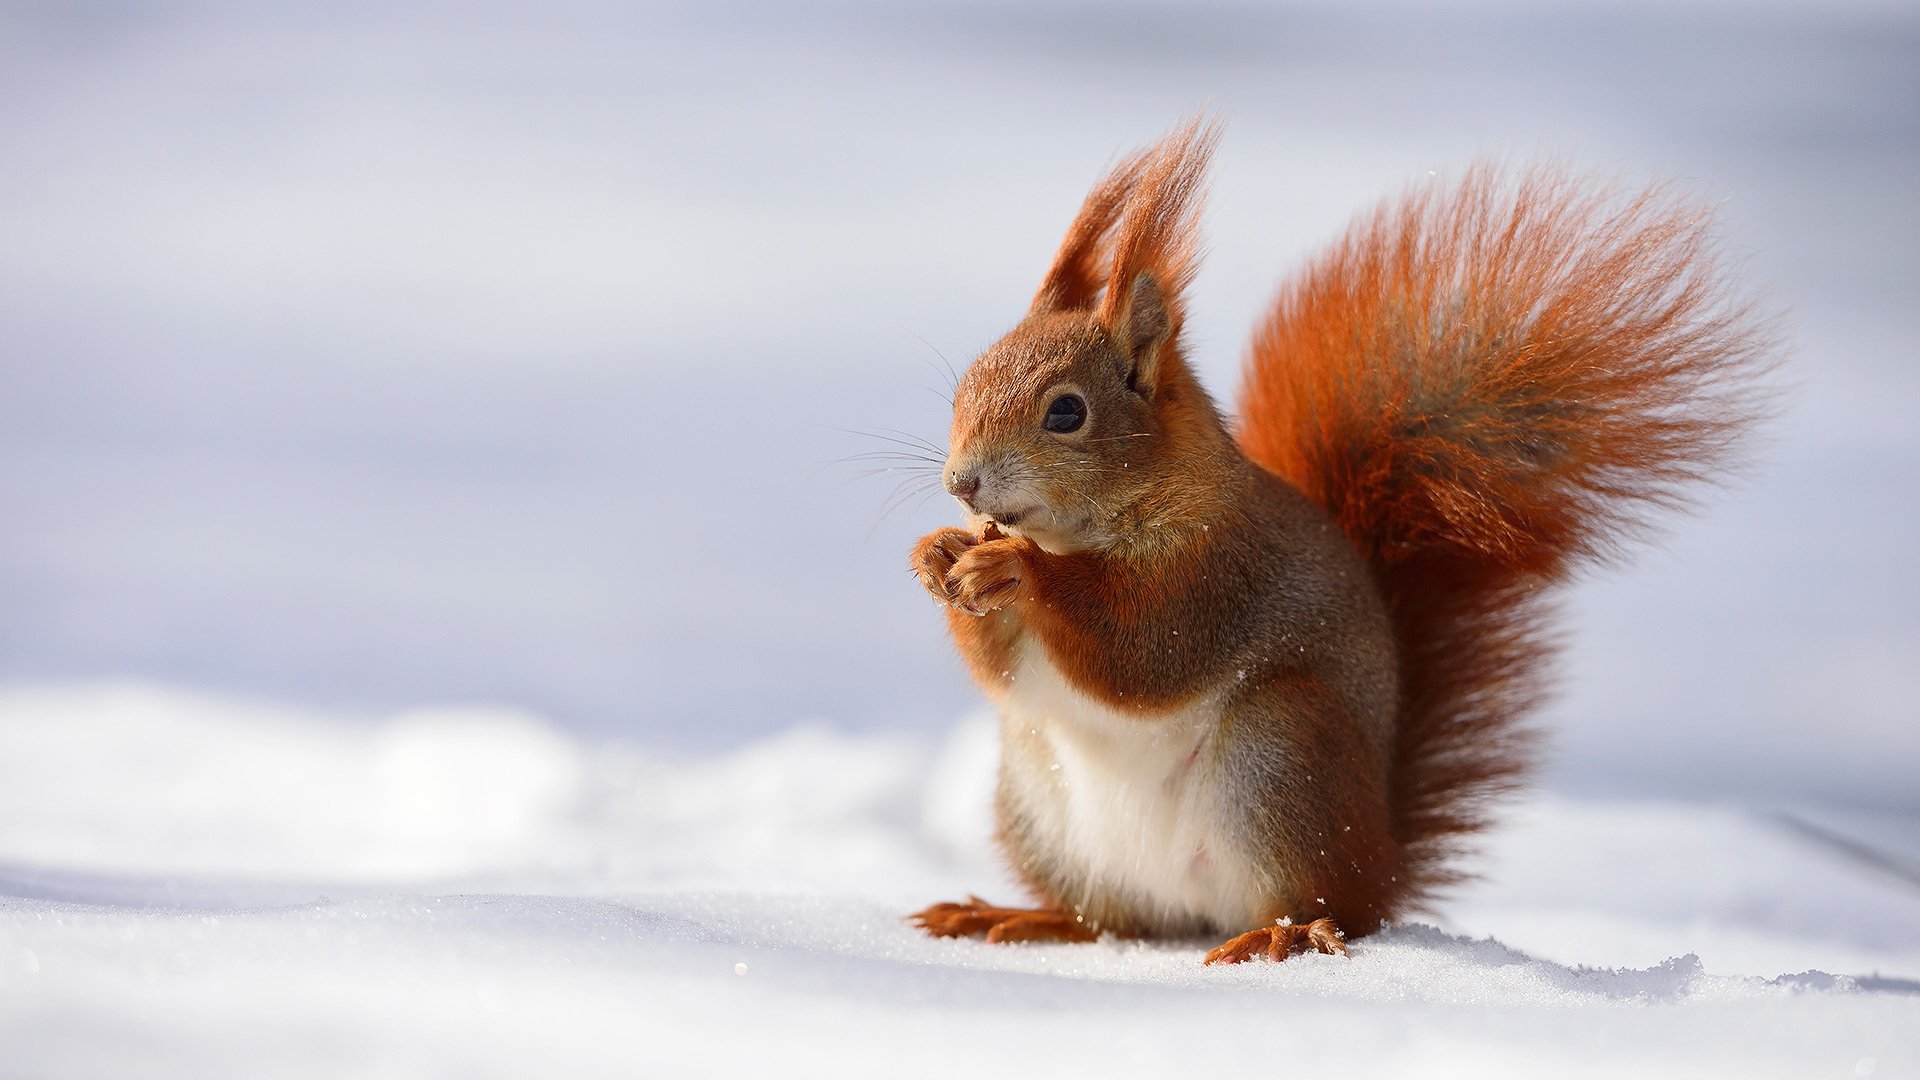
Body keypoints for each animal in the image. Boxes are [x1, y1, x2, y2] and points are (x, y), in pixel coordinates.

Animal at [904, 116, 1776, 964]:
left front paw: (1016, 569)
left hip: (1284, 756)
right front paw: (940, 555)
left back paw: (1284, 932)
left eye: (1066, 412)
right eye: (966, 385)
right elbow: (1006, 674)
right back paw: (1022, 918)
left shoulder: (1220, 571)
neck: (1081, 534)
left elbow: (1144, 650)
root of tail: (1381, 854)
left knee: (1333, 909)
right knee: (1113, 921)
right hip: (1038, 800)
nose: (961, 484)